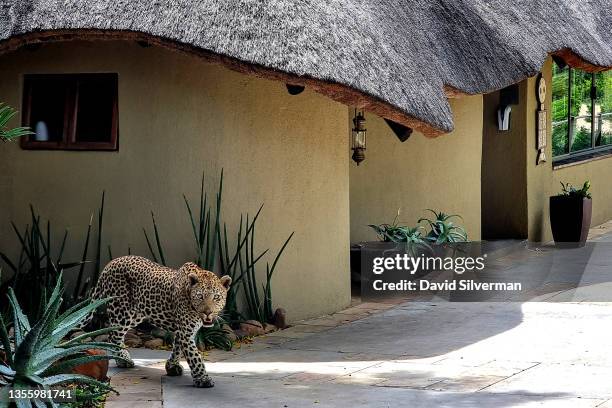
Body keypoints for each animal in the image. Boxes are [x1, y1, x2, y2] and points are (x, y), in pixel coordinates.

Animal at [83, 256, 232, 388]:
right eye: (200, 296)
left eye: (216, 297)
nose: (208, 312)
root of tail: (110, 263)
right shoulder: (186, 333)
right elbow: (195, 357)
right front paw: (203, 379)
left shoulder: (183, 331)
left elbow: (177, 348)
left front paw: (171, 367)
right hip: (122, 312)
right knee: (114, 336)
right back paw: (123, 361)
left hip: (136, 314)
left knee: (113, 335)